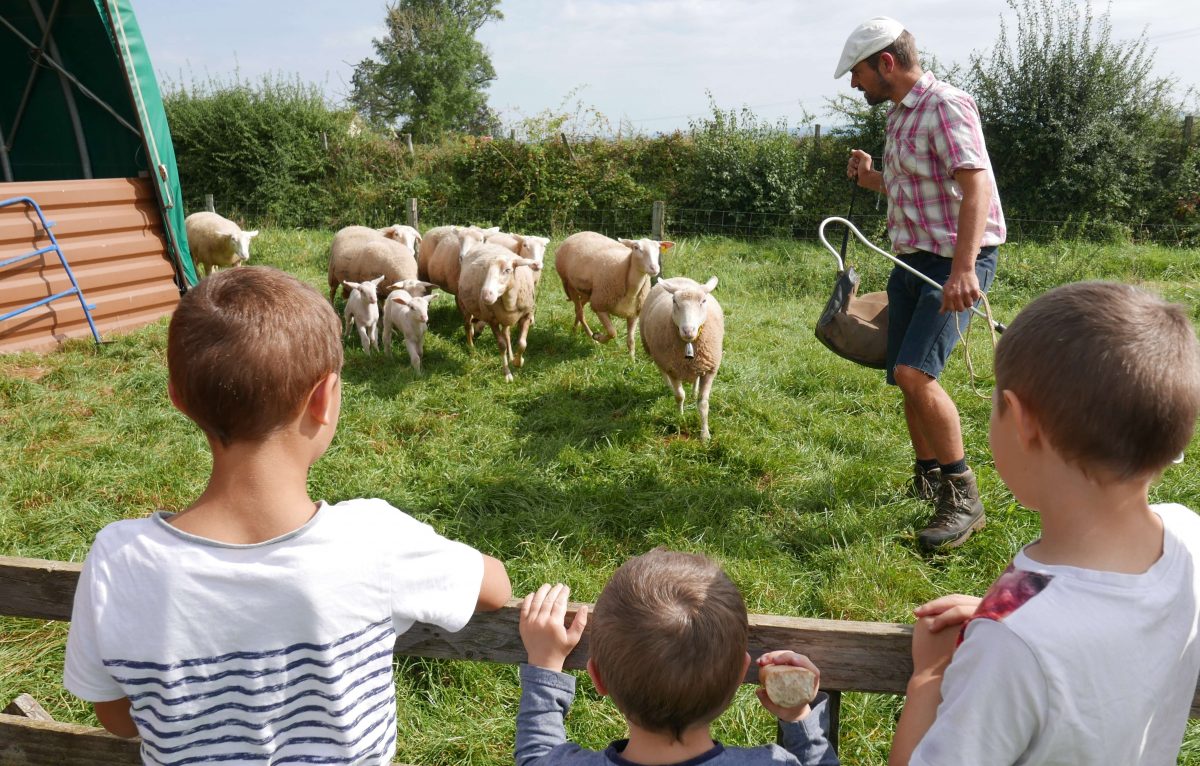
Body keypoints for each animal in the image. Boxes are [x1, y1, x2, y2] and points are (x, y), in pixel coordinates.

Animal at [453, 242, 540, 381]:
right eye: (486, 270)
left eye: (508, 270)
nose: (486, 295)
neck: (510, 300)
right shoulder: (492, 320)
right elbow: (501, 345)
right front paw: (507, 373)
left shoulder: (526, 316)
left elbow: (522, 343)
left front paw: (518, 361)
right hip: (465, 306)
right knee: (467, 325)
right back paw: (471, 348)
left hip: (505, 317)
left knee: (507, 332)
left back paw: (511, 355)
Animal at [554, 230, 676, 360]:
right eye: (636, 247)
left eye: (658, 248)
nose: (654, 268)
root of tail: (577, 233)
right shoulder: (600, 306)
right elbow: (613, 332)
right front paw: (598, 337)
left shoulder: (634, 313)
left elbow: (631, 340)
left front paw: (631, 360)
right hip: (570, 285)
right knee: (580, 312)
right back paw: (592, 339)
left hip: (588, 292)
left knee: (579, 307)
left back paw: (574, 330)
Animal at [638, 277, 720, 444]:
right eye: (674, 301)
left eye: (703, 301)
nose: (688, 330)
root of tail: (679, 278)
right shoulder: (673, 368)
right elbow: (679, 396)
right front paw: (680, 417)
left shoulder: (710, 370)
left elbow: (703, 403)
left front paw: (705, 435)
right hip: (655, 352)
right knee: (662, 370)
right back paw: (669, 385)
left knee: (696, 379)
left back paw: (694, 391)